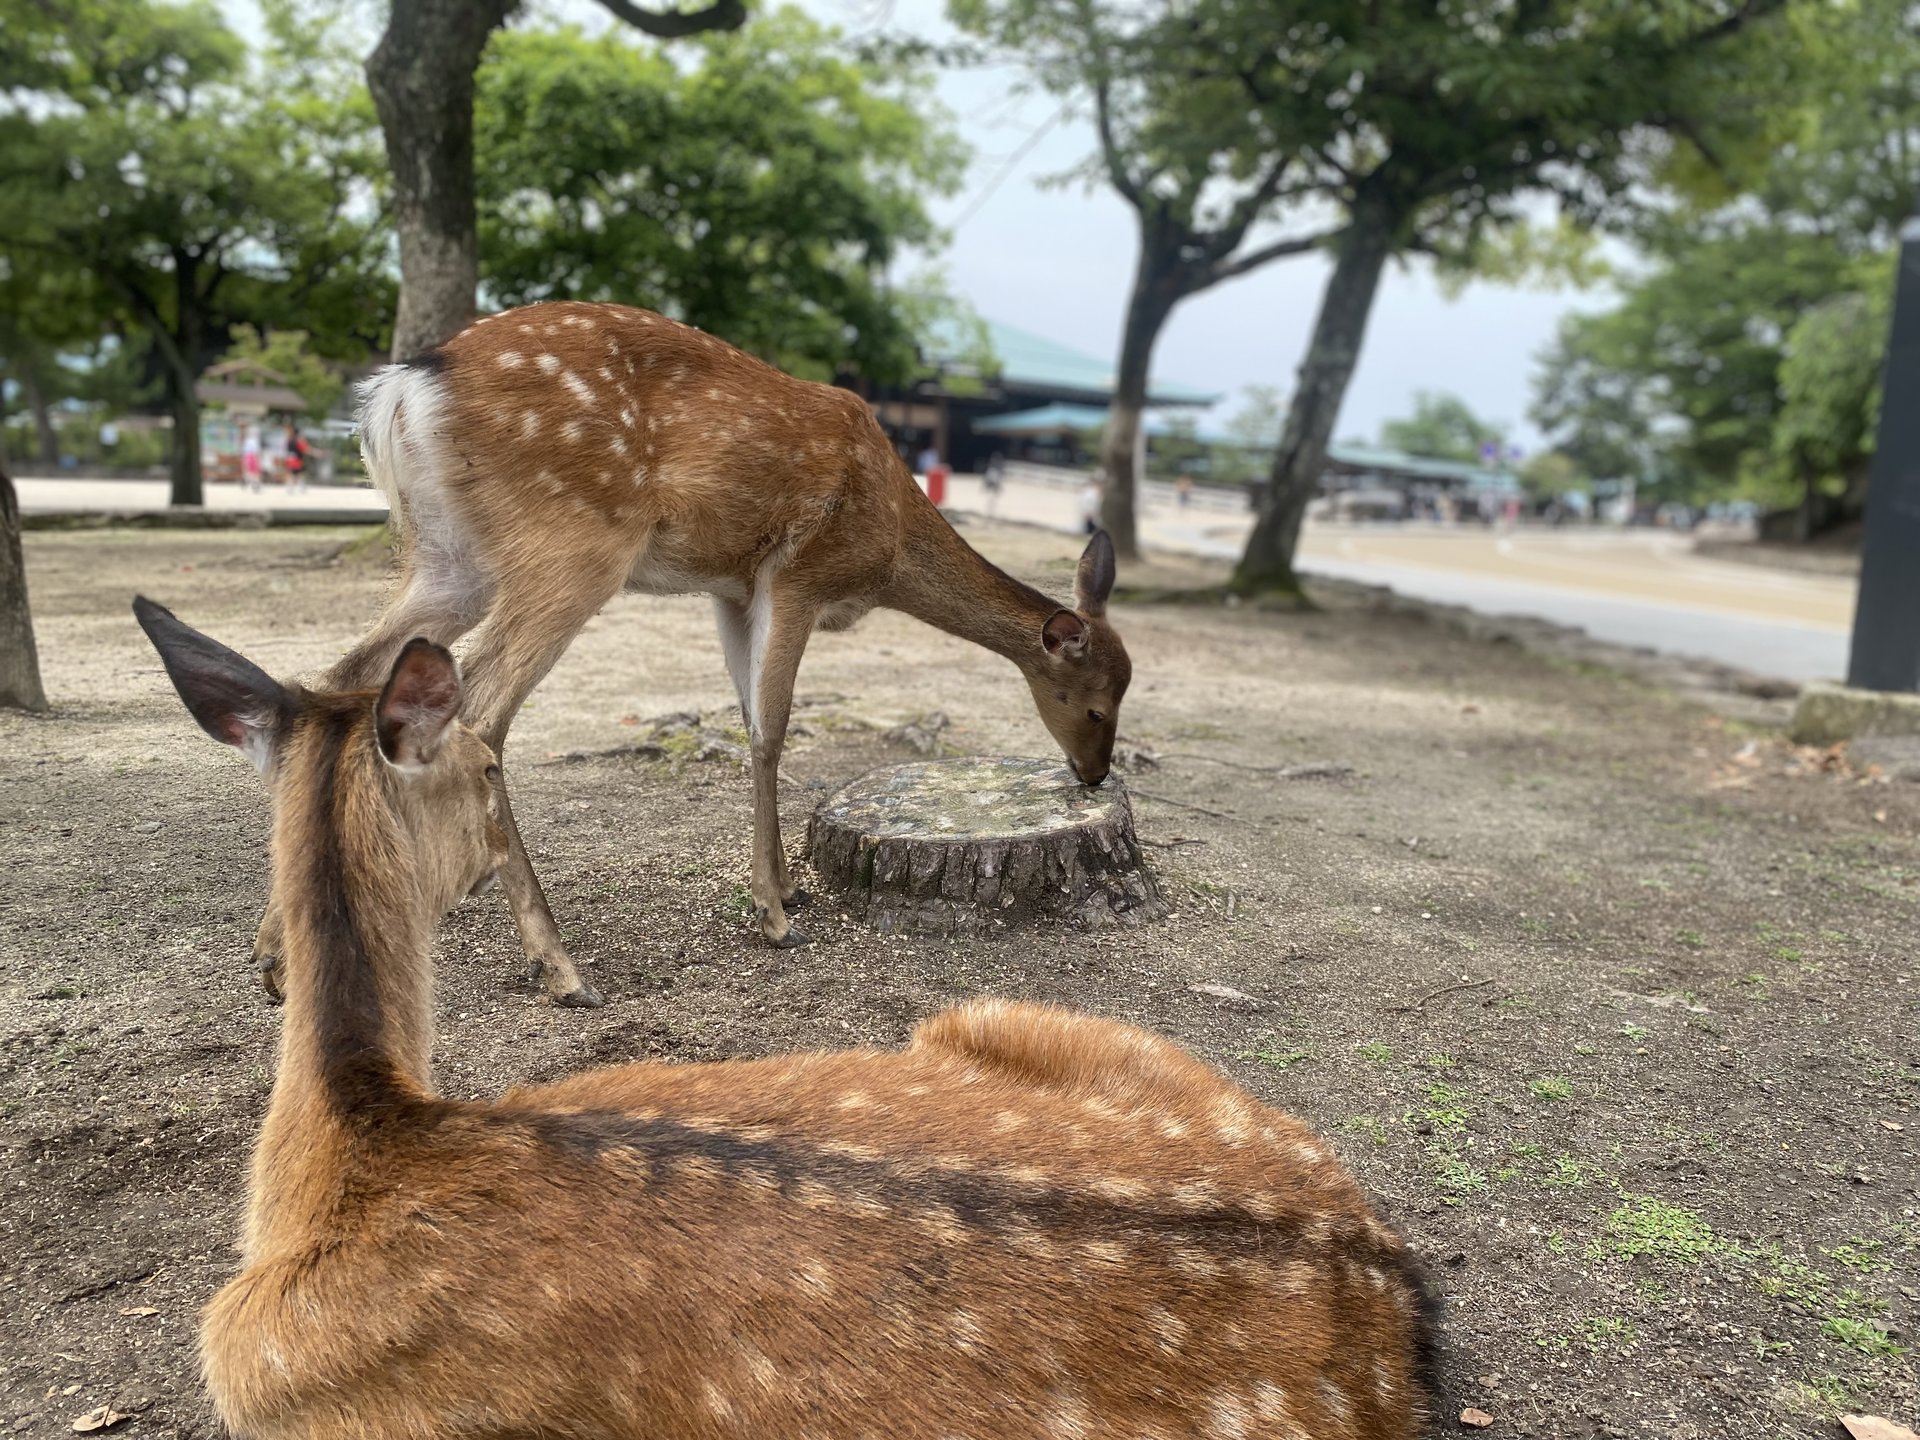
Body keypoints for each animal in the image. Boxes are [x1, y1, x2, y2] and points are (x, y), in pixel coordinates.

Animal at [249, 299, 1128, 1006]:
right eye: (1095, 703)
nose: (1094, 774)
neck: (887, 550)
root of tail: (401, 390)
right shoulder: (798, 572)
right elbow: (772, 729)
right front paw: (774, 914)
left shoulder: (730, 590)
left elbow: (747, 720)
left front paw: (788, 889)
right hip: (572, 542)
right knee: (480, 708)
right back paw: (561, 967)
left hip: (450, 557)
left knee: (342, 675)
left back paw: (275, 955)